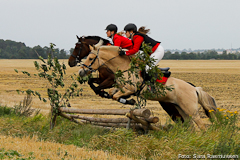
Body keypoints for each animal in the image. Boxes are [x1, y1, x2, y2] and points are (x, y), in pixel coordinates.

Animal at [78, 40, 218, 130]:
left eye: (90, 58)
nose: (81, 71)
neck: (125, 67)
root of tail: (194, 88)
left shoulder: (129, 89)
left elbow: (115, 96)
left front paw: (129, 101)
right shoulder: (120, 87)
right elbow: (112, 94)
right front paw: (127, 101)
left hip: (191, 109)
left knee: (201, 126)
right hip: (181, 109)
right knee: (190, 125)